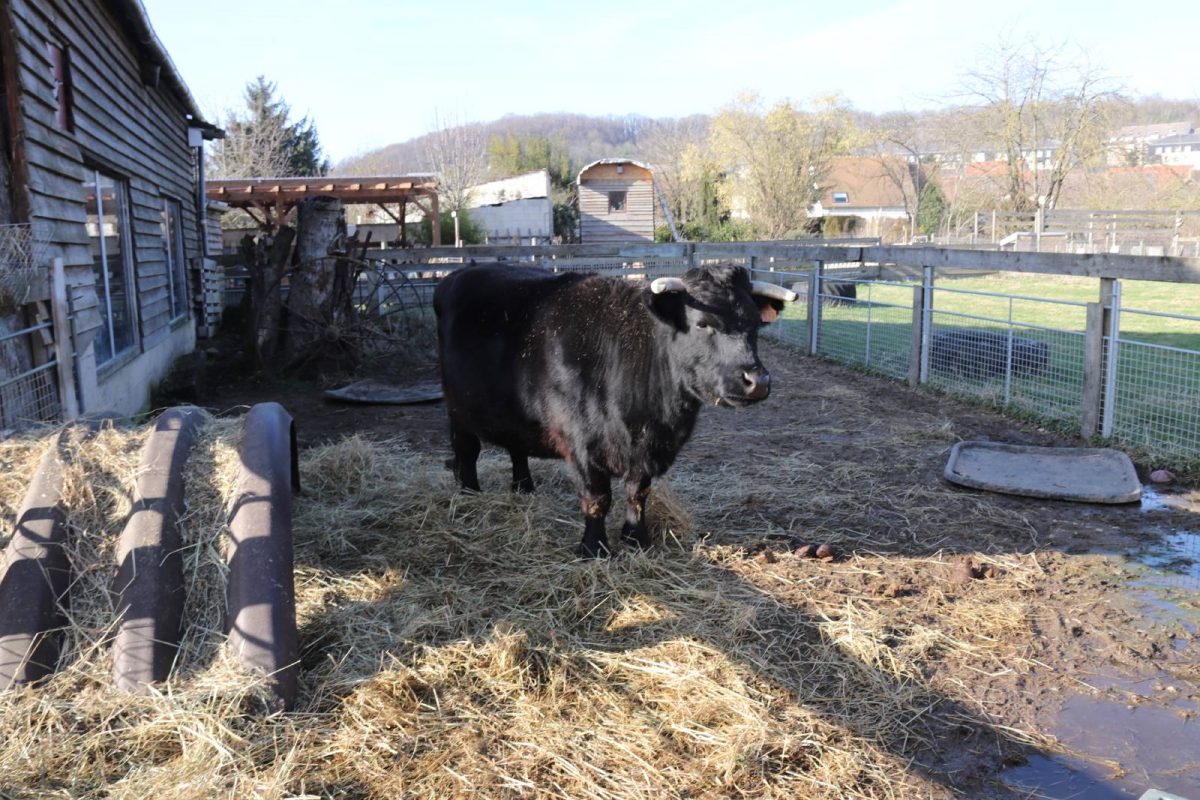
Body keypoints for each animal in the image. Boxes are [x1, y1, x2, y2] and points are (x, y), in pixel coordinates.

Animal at [434, 263, 797, 558]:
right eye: (703, 324)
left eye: (756, 324)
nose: (757, 380)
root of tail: (458, 274)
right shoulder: (583, 444)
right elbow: (598, 498)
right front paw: (594, 549)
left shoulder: (646, 450)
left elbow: (638, 493)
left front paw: (637, 539)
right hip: (456, 407)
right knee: (466, 449)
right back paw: (470, 493)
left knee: (516, 448)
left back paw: (524, 489)